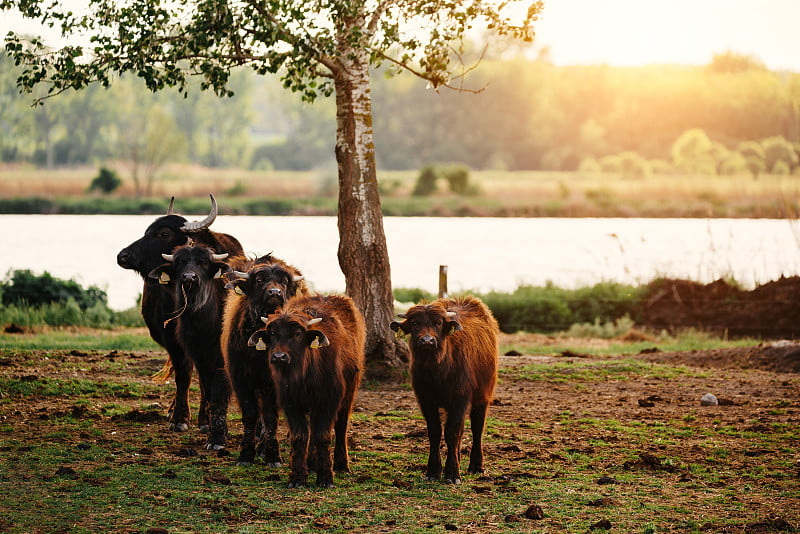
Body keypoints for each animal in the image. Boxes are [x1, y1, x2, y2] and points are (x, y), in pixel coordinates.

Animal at [115, 197, 241, 436]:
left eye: (163, 233)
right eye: (147, 230)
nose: (123, 256)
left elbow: (205, 378)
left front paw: (205, 419)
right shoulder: (172, 338)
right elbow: (183, 375)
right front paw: (180, 418)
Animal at [222, 255, 310, 468]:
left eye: (284, 281)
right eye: (259, 280)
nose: (275, 292)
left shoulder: (274, 383)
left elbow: (270, 417)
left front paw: (273, 456)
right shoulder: (241, 379)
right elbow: (250, 414)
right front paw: (246, 455)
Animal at [247, 296, 366, 492]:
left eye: (297, 334)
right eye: (272, 334)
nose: (279, 357)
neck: (304, 375)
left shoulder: (328, 401)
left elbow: (323, 436)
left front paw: (325, 477)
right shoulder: (291, 403)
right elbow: (300, 436)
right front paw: (297, 477)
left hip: (349, 393)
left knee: (341, 426)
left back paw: (341, 464)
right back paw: (311, 464)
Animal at [390, 298, 496, 486]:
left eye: (438, 322)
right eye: (414, 323)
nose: (427, 340)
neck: (436, 371)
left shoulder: (460, 397)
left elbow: (452, 432)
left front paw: (452, 473)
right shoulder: (425, 399)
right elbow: (435, 431)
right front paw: (433, 471)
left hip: (483, 394)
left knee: (477, 427)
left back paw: (476, 466)